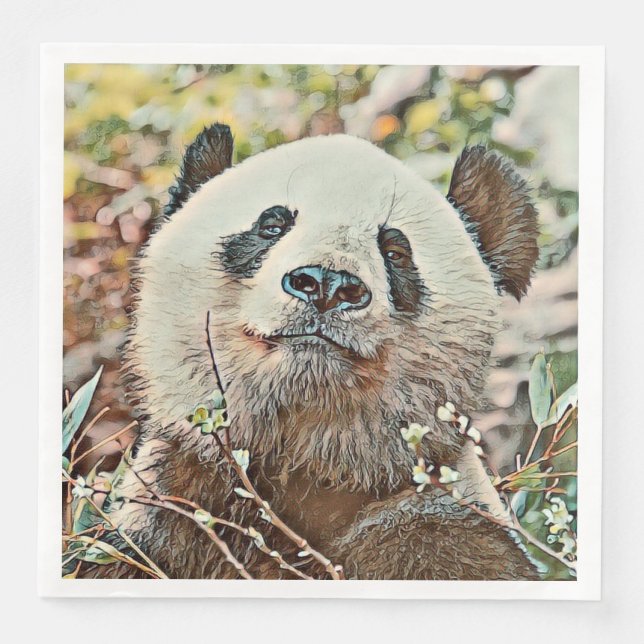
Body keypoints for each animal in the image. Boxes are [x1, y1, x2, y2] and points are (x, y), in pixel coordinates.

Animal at [93, 124, 540, 580]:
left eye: (396, 252)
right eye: (272, 226)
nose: (327, 283)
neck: (310, 465)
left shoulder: (439, 519)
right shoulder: (173, 507)